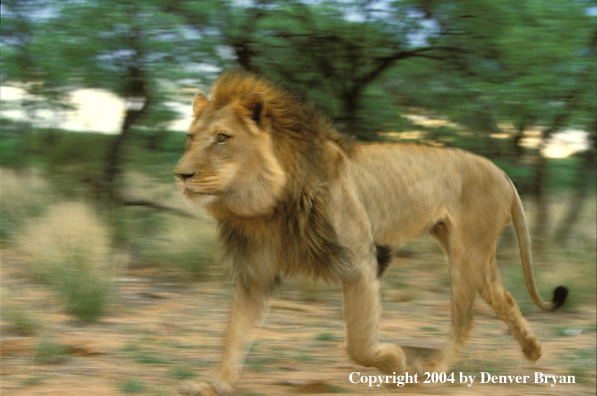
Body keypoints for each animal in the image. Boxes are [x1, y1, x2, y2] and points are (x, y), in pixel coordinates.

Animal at [175, 69, 564, 394]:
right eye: (190, 137)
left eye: (222, 138)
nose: (181, 175)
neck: (266, 205)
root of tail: (503, 174)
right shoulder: (255, 273)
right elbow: (234, 332)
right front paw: (215, 384)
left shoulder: (361, 262)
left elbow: (359, 344)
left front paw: (395, 361)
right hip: (471, 250)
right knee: (502, 297)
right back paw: (533, 350)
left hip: (467, 254)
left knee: (465, 319)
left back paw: (433, 369)